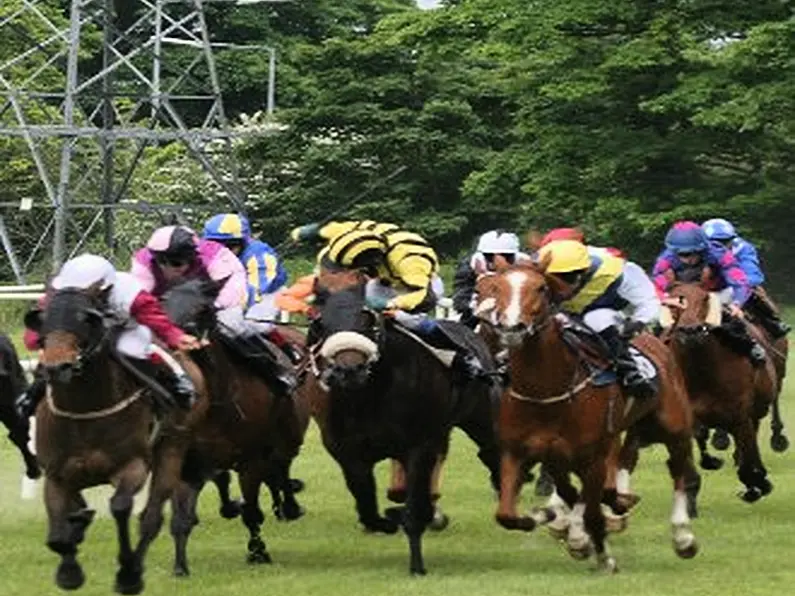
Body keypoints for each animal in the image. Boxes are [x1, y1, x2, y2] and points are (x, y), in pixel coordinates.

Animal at [476, 262, 700, 572]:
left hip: (674, 427)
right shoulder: (519, 452)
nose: (512, 327)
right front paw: (550, 517)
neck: (546, 391)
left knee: (678, 471)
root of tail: (657, 340)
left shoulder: (592, 458)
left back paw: (683, 536)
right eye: (497, 287)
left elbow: (588, 509)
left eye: (540, 287)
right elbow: (507, 514)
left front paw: (586, 542)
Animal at [660, 284, 776, 502]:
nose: (690, 330)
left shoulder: (740, 415)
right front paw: (712, 461)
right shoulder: (691, 412)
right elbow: (699, 434)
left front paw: (757, 483)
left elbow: (747, 451)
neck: (701, 371)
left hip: (757, 408)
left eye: (706, 299)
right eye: (674, 300)